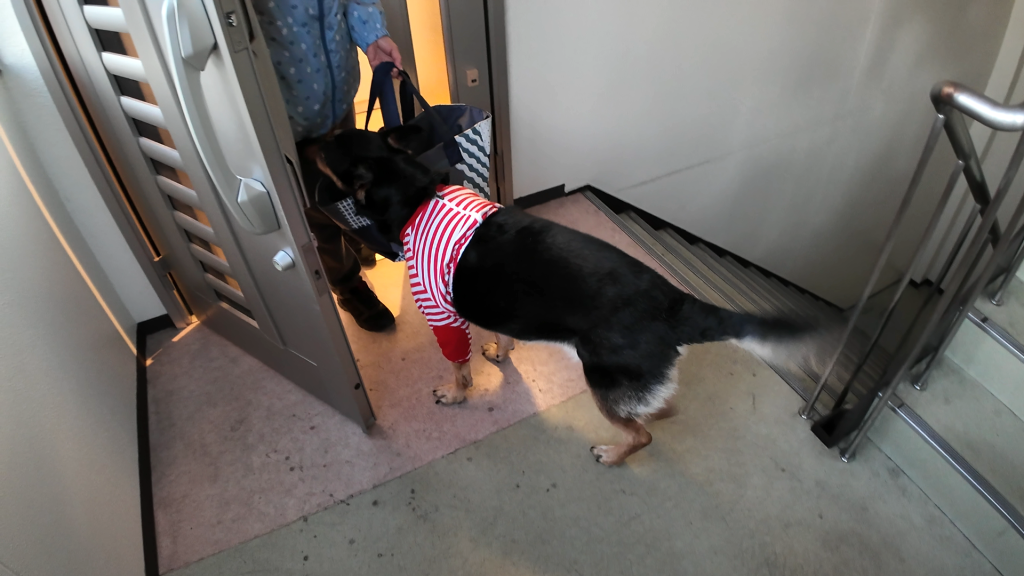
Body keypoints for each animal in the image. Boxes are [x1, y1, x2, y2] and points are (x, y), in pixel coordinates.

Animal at [315, 126, 813, 466]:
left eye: (330, 145)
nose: (307, 141)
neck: (418, 193)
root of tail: (676, 304)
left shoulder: (443, 317)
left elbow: (458, 366)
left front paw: (456, 393)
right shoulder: (495, 310)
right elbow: (502, 338)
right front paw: (500, 353)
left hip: (603, 379)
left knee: (643, 434)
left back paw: (613, 454)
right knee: (662, 409)